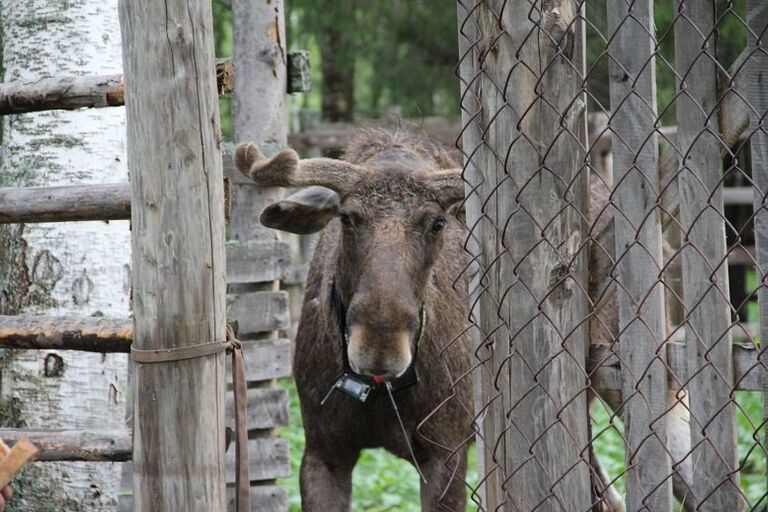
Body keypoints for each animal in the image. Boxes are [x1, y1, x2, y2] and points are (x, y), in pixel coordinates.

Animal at [236, 129, 696, 512]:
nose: (380, 345)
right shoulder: (323, 452)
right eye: (346, 218)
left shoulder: (446, 453)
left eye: (437, 222)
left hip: (640, 375)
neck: (381, 393)